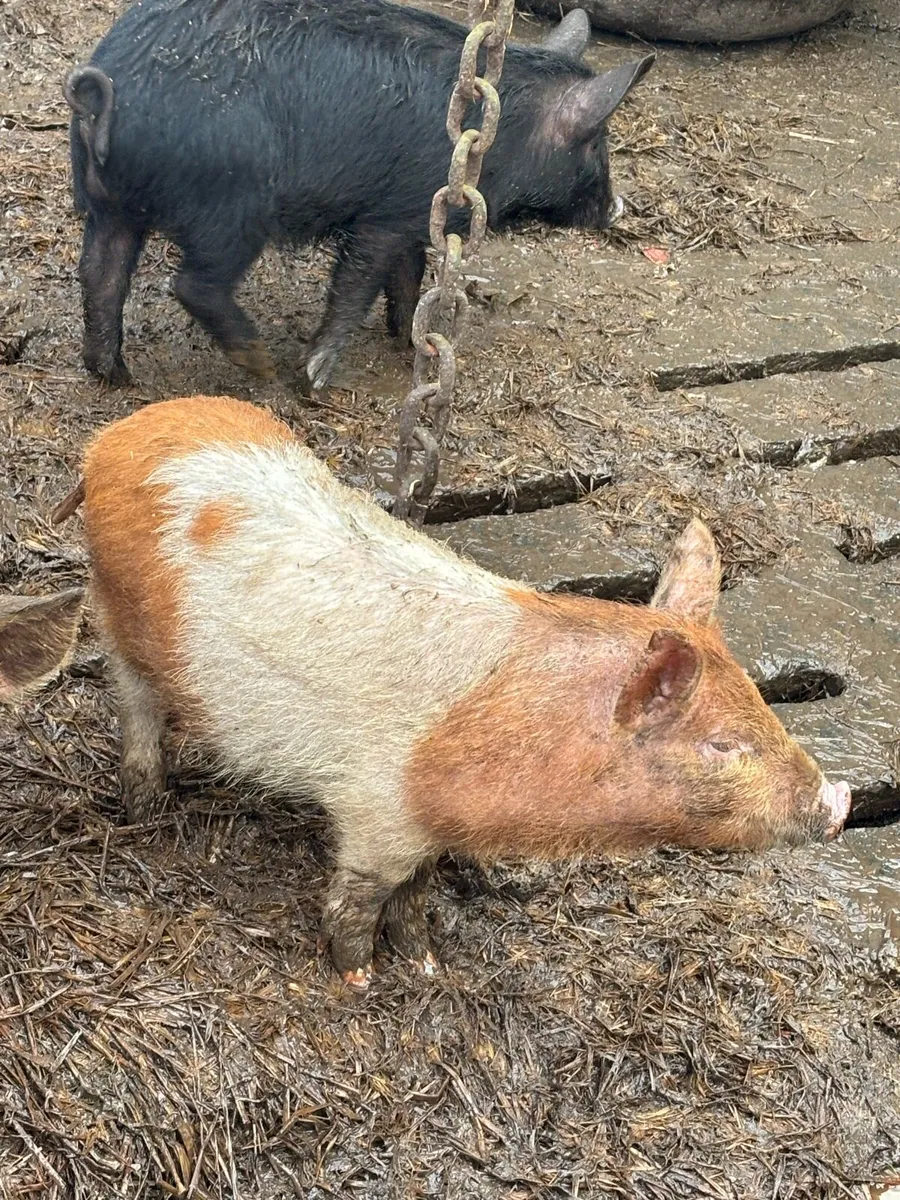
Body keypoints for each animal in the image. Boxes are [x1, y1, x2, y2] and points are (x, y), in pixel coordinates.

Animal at [64, 0, 653, 390]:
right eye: (597, 142)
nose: (618, 207)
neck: (509, 131)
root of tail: (108, 92)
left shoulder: (416, 212)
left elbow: (408, 275)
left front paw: (410, 338)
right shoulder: (383, 217)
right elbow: (358, 283)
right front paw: (312, 380)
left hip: (107, 204)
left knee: (99, 272)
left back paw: (117, 376)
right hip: (232, 206)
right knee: (192, 284)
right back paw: (260, 365)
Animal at [76, 394, 851, 990]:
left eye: (764, 706)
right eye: (721, 745)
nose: (837, 801)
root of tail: (113, 438)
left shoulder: (430, 832)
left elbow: (415, 896)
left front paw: (425, 966)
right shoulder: (377, 812)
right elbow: (357, 900)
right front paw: (359, 981)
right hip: (114, 618)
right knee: (135, 710)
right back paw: (146, 812)